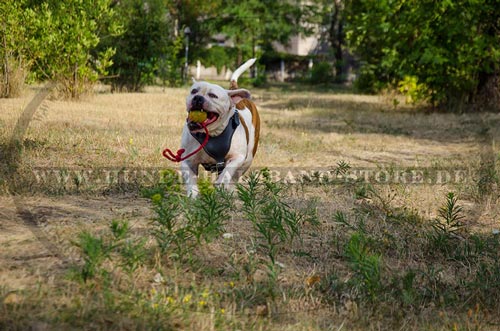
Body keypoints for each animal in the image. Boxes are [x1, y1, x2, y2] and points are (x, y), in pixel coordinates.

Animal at [180, 59, 260, 197]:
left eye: (213, 95)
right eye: (194, 91)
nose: (198, 97)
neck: (211, 133)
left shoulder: (237, 157)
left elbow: (228, 171)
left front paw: (221, 182)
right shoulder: (187, 160)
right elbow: (190, 177)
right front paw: (193, 194)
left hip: (248, 159)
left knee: (236, 175)